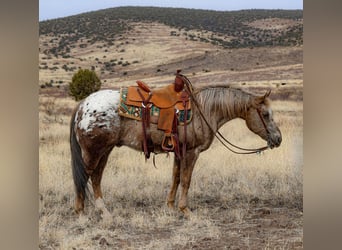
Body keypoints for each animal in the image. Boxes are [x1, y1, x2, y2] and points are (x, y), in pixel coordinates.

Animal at [69, 81, 280, 218]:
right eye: (265, 114)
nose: (278, 139)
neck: (205, 110)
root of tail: (82, 105)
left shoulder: (179, 153)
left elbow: (176, 178)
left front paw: (170, 206)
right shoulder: (192, 152)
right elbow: (186, 180)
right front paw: (185, 210)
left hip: (105, 150)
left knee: (96, 177)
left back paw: (103, 211)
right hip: (94, 151)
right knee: (85, 176)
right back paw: (81, 212)